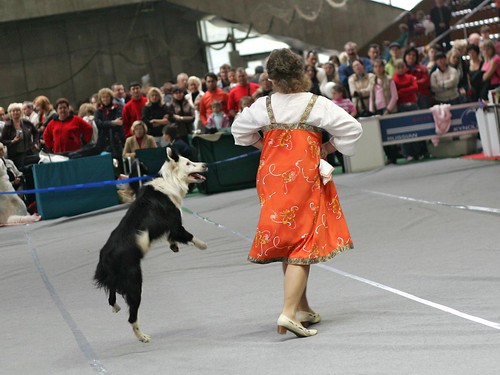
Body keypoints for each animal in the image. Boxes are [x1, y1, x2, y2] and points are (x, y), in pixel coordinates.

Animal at [94, 148, 208, 344]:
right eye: (189, 163)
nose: (206, 164)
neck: (170, 179)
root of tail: (106, 257)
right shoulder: (175, 223)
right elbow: (188, 235)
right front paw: (203, 245)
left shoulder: (168, 228)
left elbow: (171, 237)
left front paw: (174, 246)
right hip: (134, 282)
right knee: (132, 316)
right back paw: (143, 337)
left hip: (116, 278)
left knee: (111, 295)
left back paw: (115, 307)